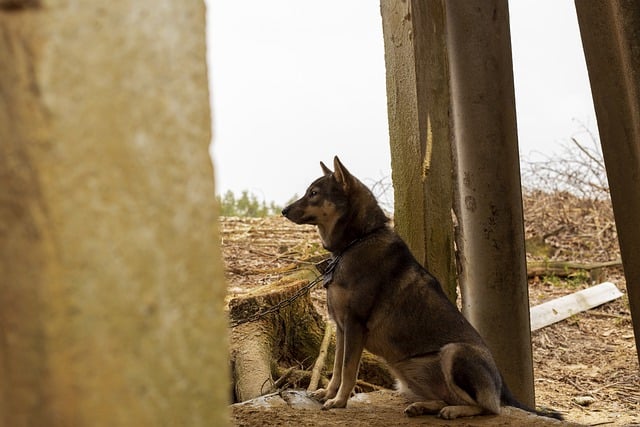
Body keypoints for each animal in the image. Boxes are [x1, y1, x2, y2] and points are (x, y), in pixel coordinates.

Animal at [282, 157, 564, 422]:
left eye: (314, 193)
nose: (284, 210)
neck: (357, 240)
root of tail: (502, 386)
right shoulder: (341, 328)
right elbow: (338, 368)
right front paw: (328, 394)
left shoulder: (354, 325)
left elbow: (349, 370)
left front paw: (339, 401)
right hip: (404, 373)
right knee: (446, 397)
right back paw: (424, 406)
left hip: (453, 352)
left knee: (489, 407)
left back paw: (454, 411)